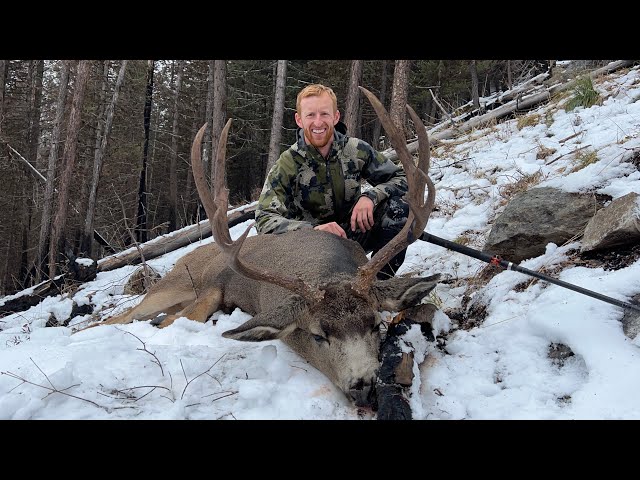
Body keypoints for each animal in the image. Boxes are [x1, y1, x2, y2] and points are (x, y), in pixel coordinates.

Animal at [97, 88, 438, 406]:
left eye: (376, 324)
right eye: (317, 335)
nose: (364, 386)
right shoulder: (222, 287)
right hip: (172, 286)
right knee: (119, 318)